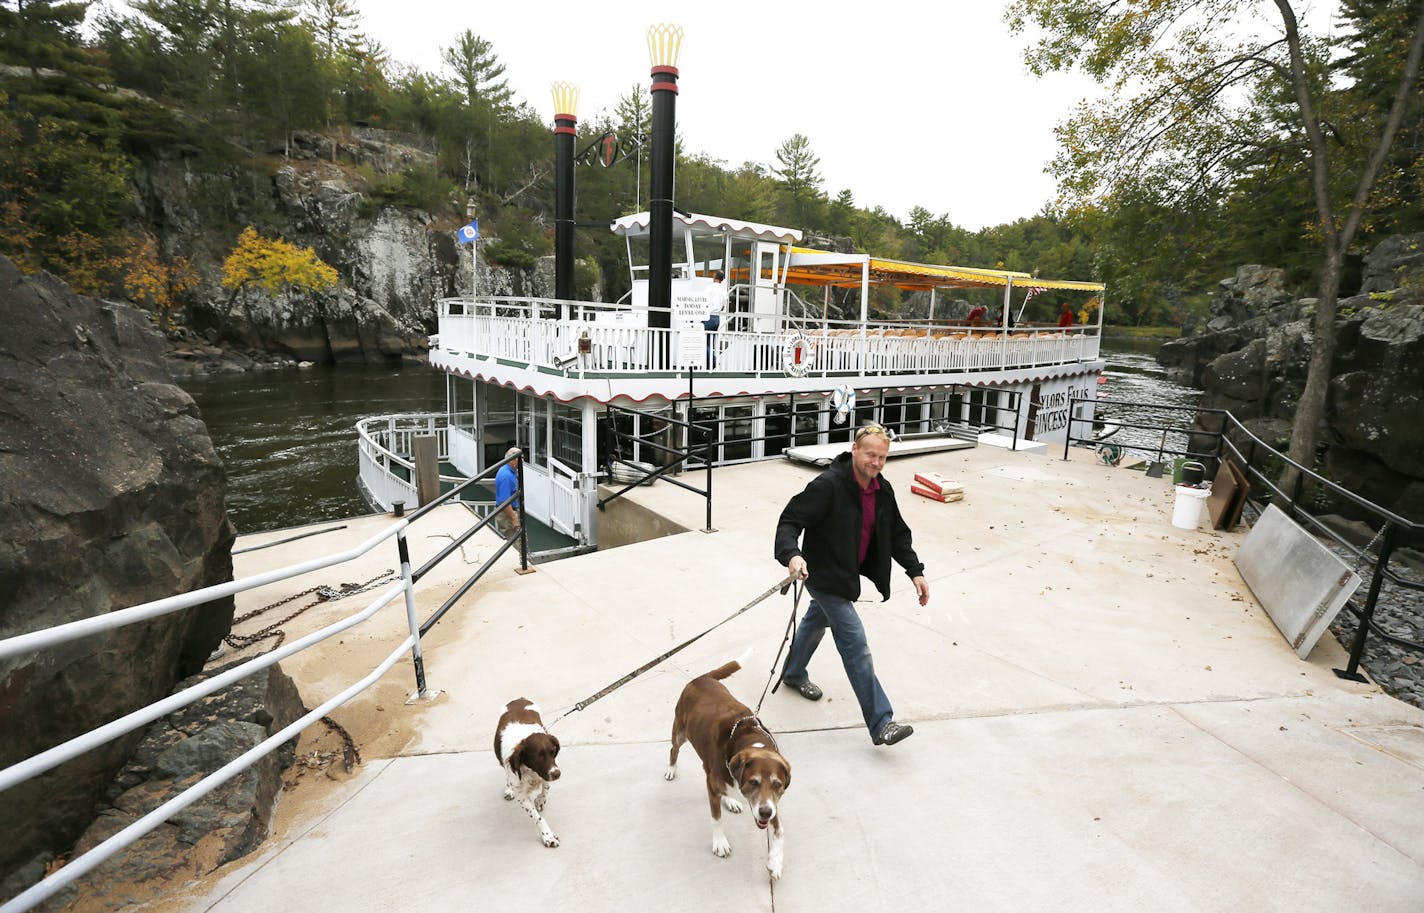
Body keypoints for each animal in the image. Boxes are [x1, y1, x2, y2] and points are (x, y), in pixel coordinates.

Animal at [495, 697, 561, 848]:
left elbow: (546, 789)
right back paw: (508, 789)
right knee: (506, 774)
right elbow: (537, 817)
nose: (557, 774)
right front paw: (547, 836)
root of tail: (519, 699)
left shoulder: (546, 774)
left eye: (553, 752)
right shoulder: (522, 795)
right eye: (538, 757)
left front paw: (540, 800)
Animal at [663, 652, 791, 877]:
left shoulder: (771, 803)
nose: (765, 813)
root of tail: (702, 678)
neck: (750, 740)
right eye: (753, 782)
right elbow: (716, 818)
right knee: (674, 749)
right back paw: (671, 769)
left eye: (778, 785)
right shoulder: (714, 786)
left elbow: (779, 830)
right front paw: (720, 843)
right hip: (680, 732)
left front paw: (775, 862)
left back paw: (730, 800)